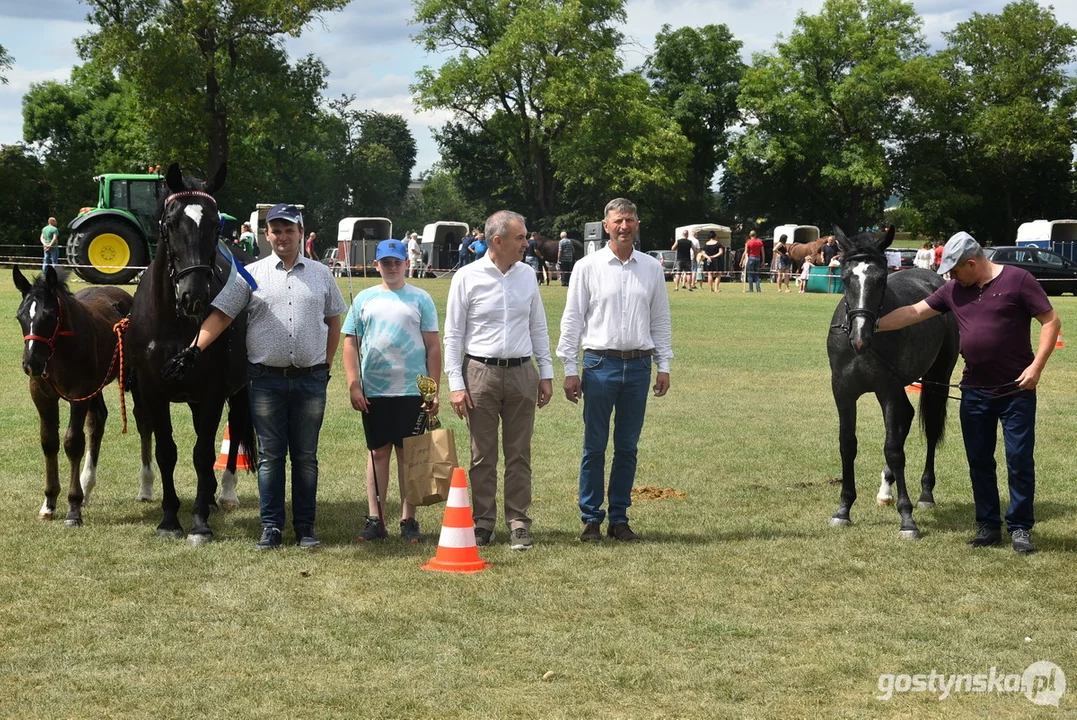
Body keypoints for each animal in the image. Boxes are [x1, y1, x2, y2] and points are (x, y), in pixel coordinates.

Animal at [123, 162, 254, 544]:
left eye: (216, 224)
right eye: (169, 223)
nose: (193, 295)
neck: (175, 321)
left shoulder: (212, 393)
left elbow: (202, 453)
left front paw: (198, 524)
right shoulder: (153, 392)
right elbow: (167, 452)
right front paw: (169, 520)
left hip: (238, 391)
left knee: (234, 432)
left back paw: (223, 494)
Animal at [827, 227, 956, 535]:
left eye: (881, 278)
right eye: (846, 278)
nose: (860, 336)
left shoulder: (887, 390)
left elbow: (894, 449)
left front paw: (907, 518)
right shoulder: (843, 392)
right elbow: (847, 444)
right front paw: (843, 509)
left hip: (937, 379)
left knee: (929, 429)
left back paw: (925, 494)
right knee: (905, 418)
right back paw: (886, 489)